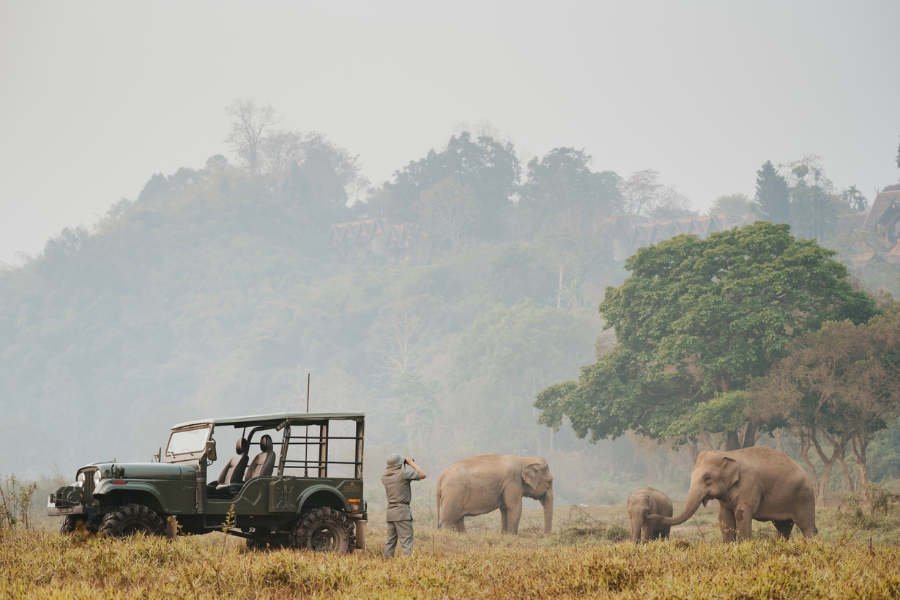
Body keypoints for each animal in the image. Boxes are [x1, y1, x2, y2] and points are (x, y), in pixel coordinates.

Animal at [648, 446, 816, 540]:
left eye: (707, 478)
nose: (648, 516)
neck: (728, 454)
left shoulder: (750, 484)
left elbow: (741, 513)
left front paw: (745, 546)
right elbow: (724, 517)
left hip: (805, 497)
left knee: (807, 527)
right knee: (783, 527)